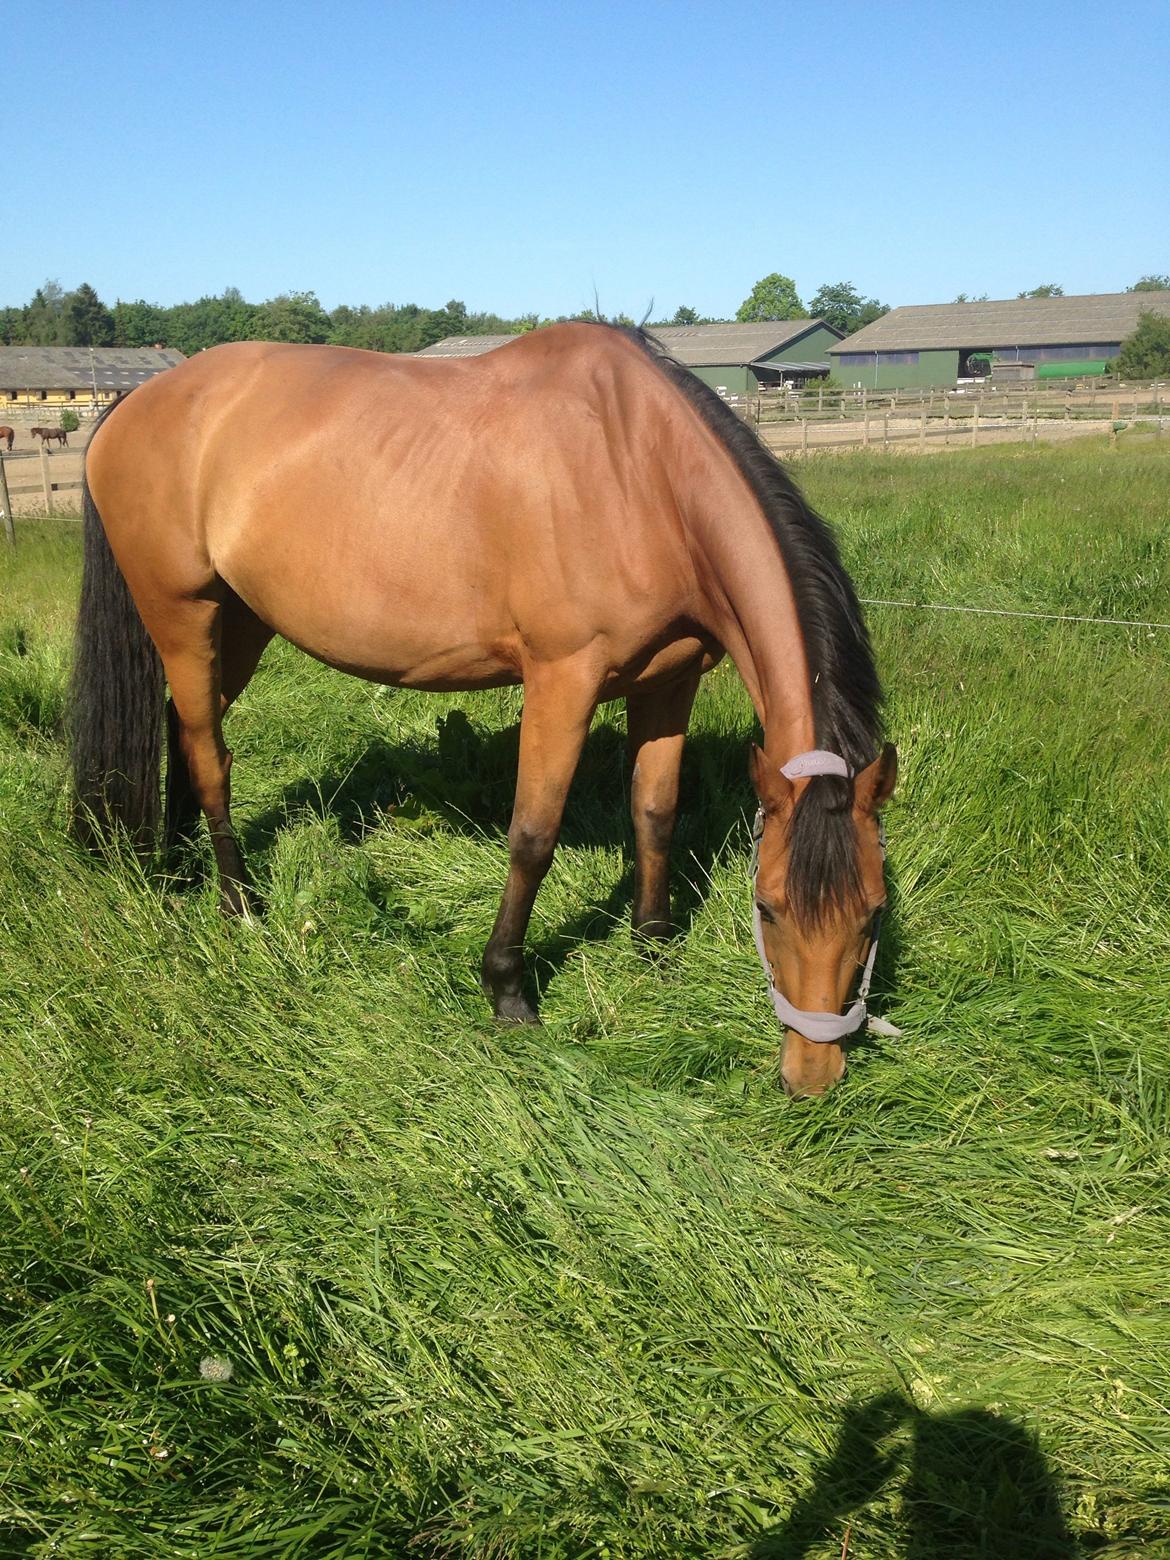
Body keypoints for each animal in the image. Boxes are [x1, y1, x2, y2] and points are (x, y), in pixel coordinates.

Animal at [70, 322, 898, 1092]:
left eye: (872, 912)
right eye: (769, 909)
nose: (812, 1074)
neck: (638, 472)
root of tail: (131, 405)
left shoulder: (669, 683)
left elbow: (656, 814)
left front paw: (654, 950)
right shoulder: (563, 680)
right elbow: (533, 836)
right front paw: (508, 994)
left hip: (237, 623)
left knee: (185, 730)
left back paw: (178, 870)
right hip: (182, 616)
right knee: (209, 753)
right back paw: (238, 904)